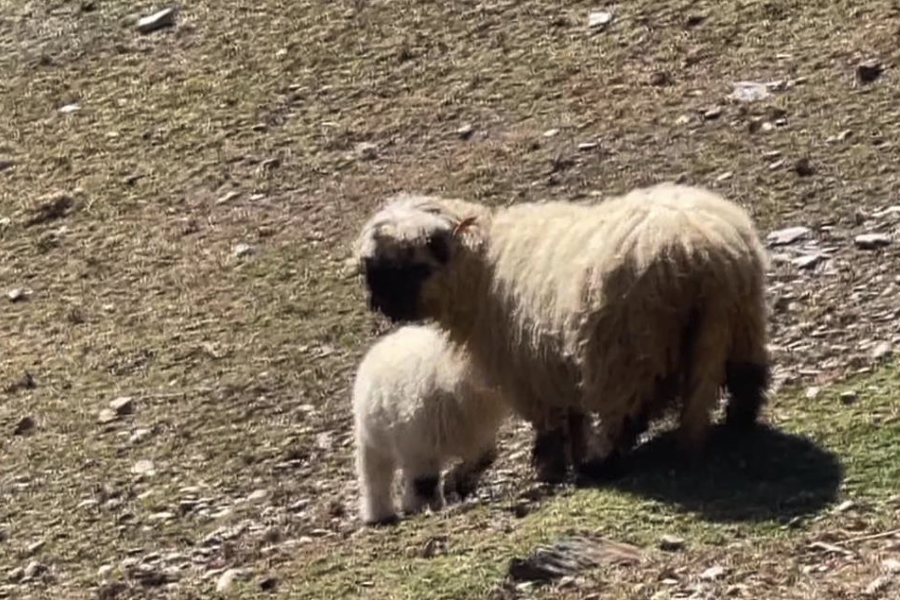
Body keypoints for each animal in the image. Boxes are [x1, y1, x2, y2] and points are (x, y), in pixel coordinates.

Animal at [352, 182, 772, 482]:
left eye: (409, 265)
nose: (380, 304)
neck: (480, 274)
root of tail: (704, 253)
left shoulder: (527, 373)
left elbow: (550, 425)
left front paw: (551, 468)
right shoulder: (553, 364)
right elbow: (573, 418)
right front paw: (571, 457)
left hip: (625, 347)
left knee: (625, 411)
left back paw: (603, 463)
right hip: (742, 322)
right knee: (748, 377)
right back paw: (739, 422)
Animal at [352, 324, 510, 524]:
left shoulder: (480, 435)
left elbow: (486, 458)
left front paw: (458, 484)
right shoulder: (418, 442)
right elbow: (424, 480)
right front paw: (422, 505)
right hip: (372, 438)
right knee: (374, 475)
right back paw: (379, 515)